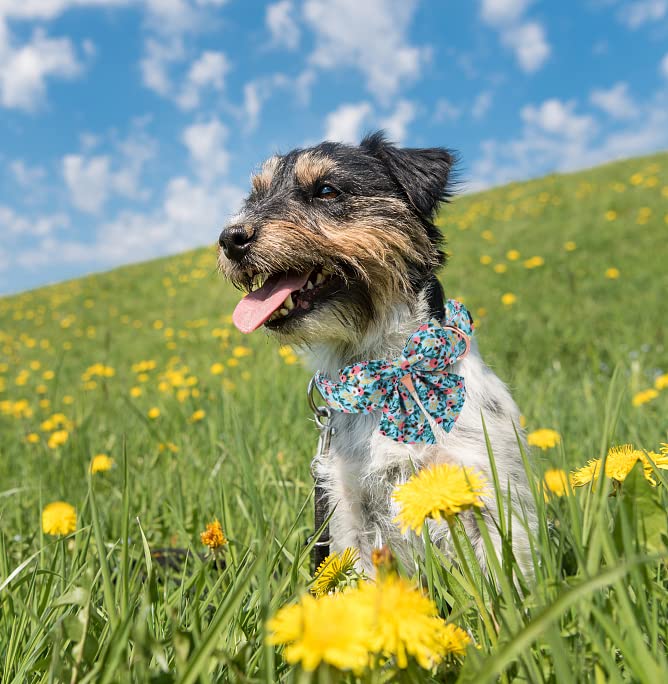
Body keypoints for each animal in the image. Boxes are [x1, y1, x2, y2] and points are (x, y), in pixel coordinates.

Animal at [219, 131, 536, 576]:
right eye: (256, 196)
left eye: (326, 191)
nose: (230, 238)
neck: (388, 373)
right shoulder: (348, 511)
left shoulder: (490, 491)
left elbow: (508, 579)